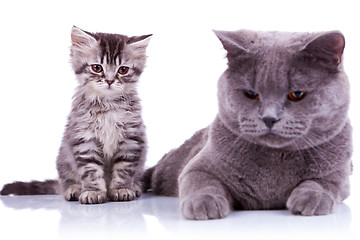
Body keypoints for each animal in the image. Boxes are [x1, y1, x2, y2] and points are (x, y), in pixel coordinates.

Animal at [0, 25, 152, 204]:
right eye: (97, 68)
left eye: (123, 70)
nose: (109, 81)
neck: (108, 105)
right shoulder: (84, 138)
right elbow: (91, 170)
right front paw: (93, 191)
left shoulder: (131, 138)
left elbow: (124, 169)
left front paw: (122, 189)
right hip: (64, 159)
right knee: (68, 180)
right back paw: (74, 189)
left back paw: (135, 187)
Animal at [143, 29, 352, 219]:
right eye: (251, 94)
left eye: (296, 94)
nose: (269, 118)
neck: (275, 160)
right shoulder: (198, 165)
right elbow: (201, 180)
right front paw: (204, 203)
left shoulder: (341, 175)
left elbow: (323, 183)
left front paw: (311, 198)